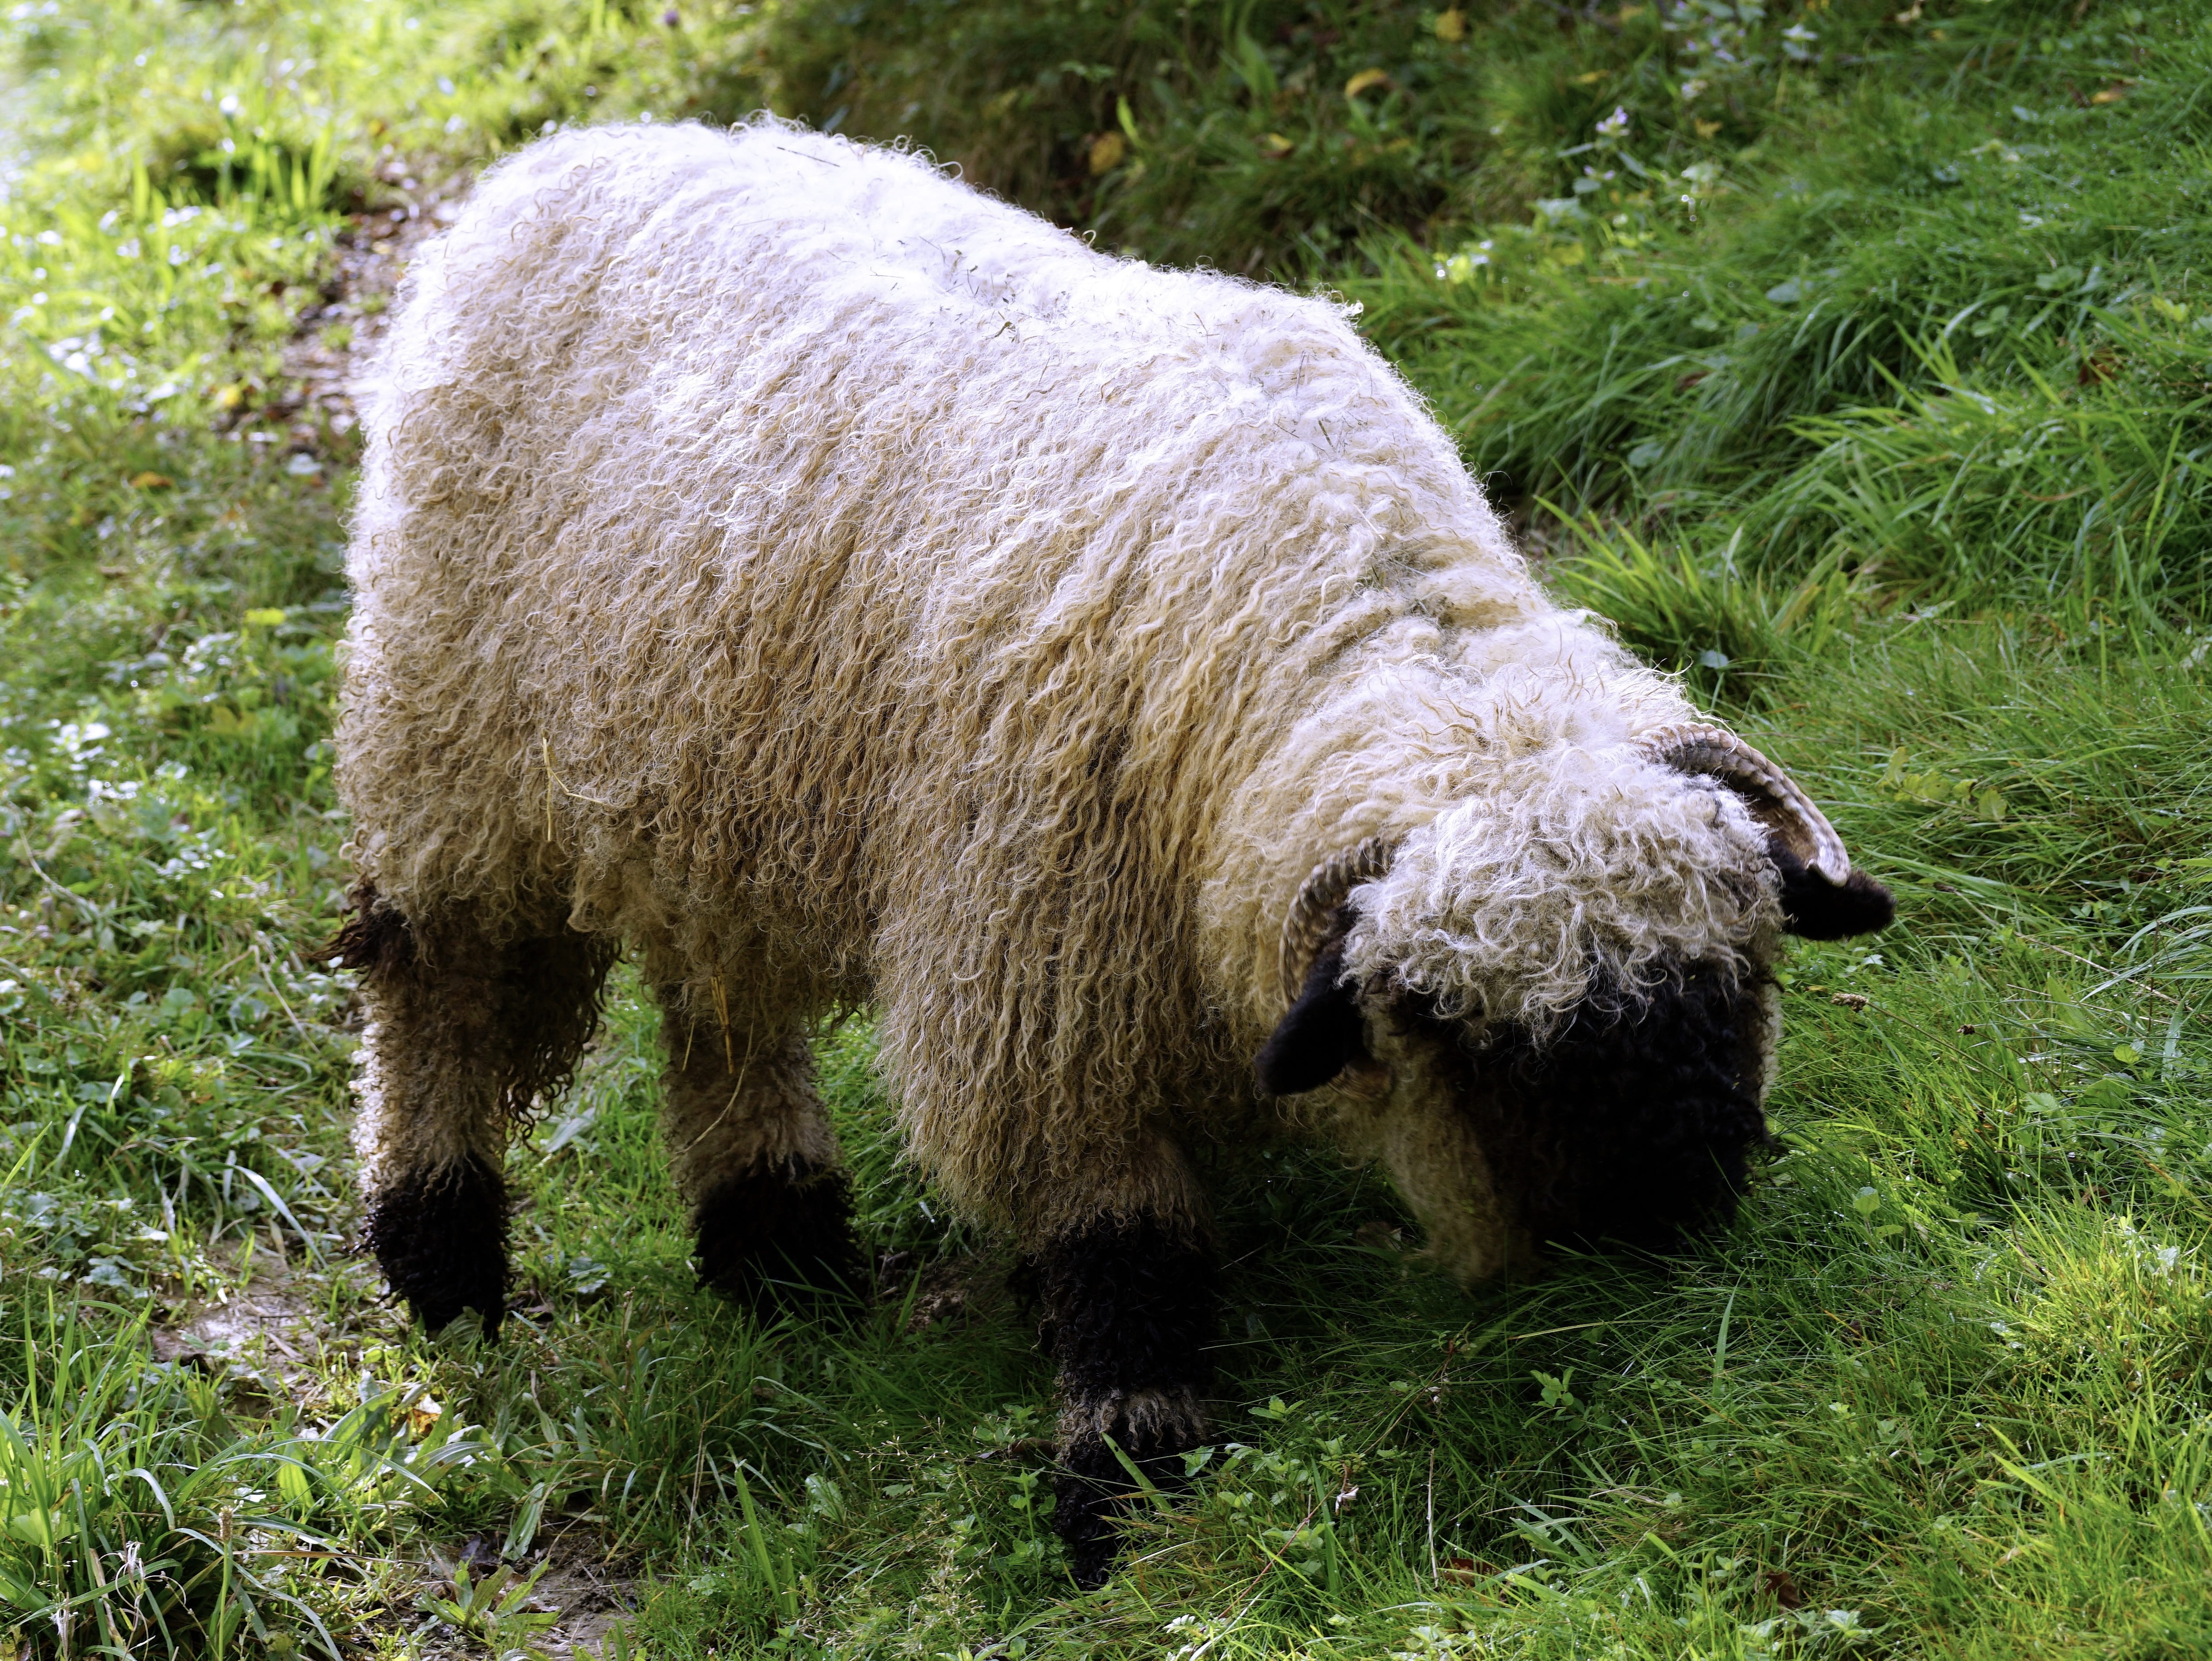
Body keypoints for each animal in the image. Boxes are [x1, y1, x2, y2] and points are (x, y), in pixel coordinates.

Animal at [329, 116, 1894, 1588]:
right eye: (1472, 1035)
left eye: (1736, 975)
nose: (1666, 1217)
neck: (1341, 611)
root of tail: (564, 152)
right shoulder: (1040, 994)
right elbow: (1118, 1253)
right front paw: (1119, 1483)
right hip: (447, 748)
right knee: (435, 992)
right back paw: (439, 1255)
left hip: (703, 785)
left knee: (720, 1003)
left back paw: (780, 1249)